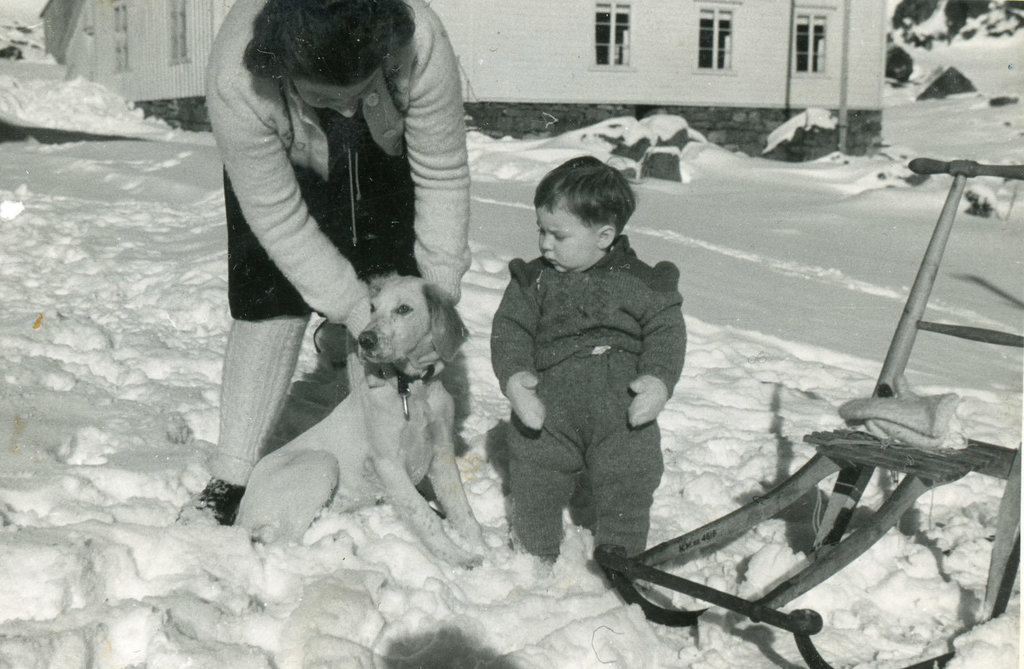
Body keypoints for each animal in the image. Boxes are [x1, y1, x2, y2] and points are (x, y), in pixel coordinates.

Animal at [235, 274, 483, 565]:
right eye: (373, 308)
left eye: (404, 309)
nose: (366, 340)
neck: (412, 390)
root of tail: (242, 514)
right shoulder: (388, 464)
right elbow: (424, 514)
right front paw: (456, 557)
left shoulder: (441, 453)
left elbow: (462, 509)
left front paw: (482, 548)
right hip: (322, 462)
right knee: (284, 544)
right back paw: (335, 544)